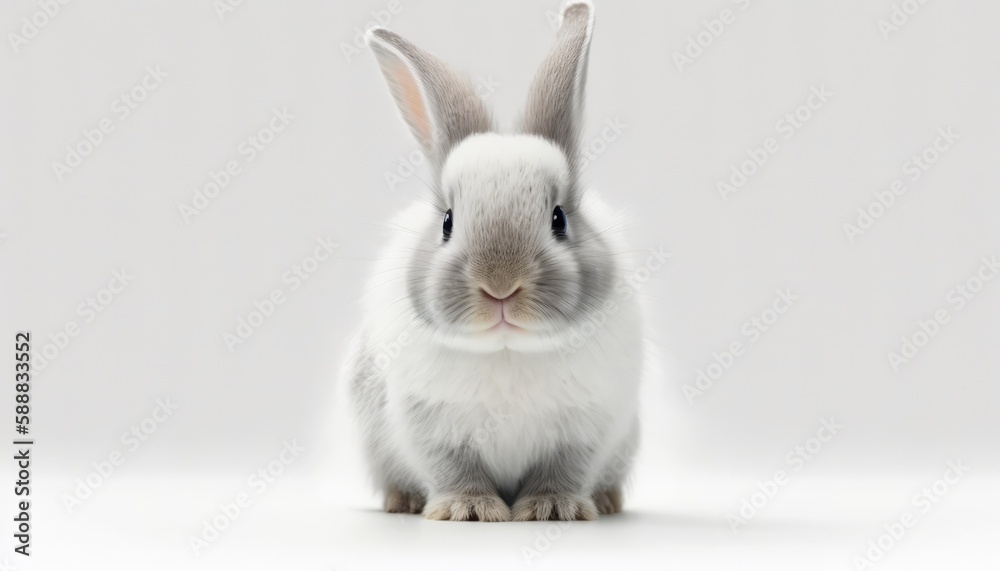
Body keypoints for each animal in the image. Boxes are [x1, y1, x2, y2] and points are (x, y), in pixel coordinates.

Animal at [345, 0, 644, 522]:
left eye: (558, 218)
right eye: (447, 222)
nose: (500, 285)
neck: (507, 350)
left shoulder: (586, 427)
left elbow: (563, 469)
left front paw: (552, 508)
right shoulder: (429, 425)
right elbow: (454, 468)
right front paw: (468, 510)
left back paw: (607, 501)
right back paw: (403, 502)